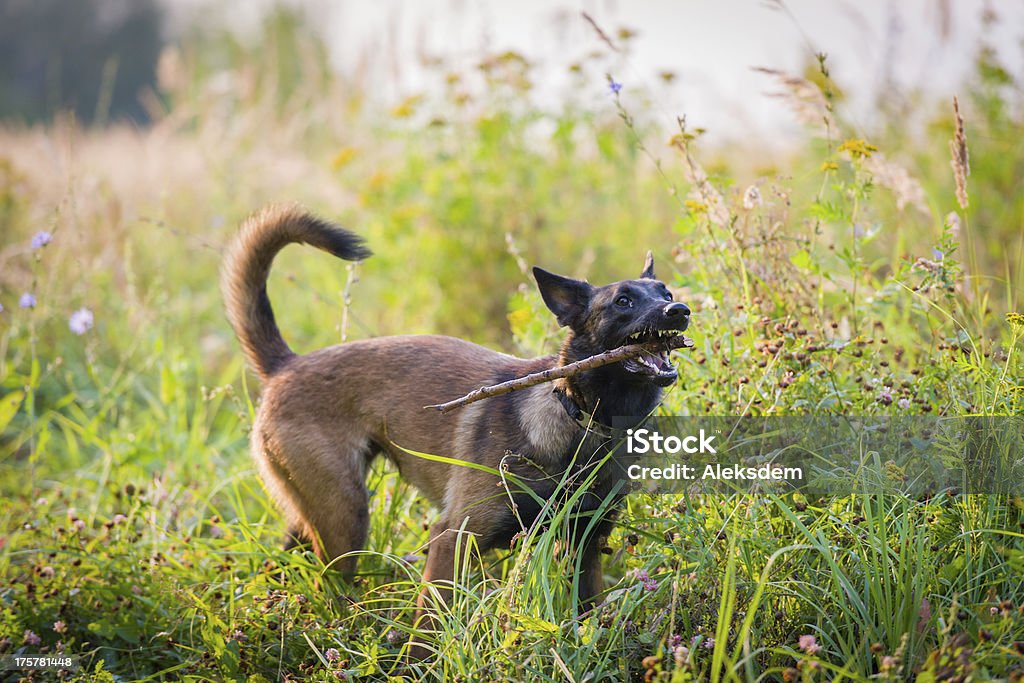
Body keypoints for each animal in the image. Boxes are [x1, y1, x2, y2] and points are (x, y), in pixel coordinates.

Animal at [222, 202, 688, 643]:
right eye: (623, 301)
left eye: (664, 290)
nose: (679, 309)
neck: (580, 420)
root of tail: (286, 365)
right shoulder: (453, 539)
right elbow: (427, 631)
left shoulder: (584, 547)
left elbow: (586, 610)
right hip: (345, 517)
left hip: (317, 512)